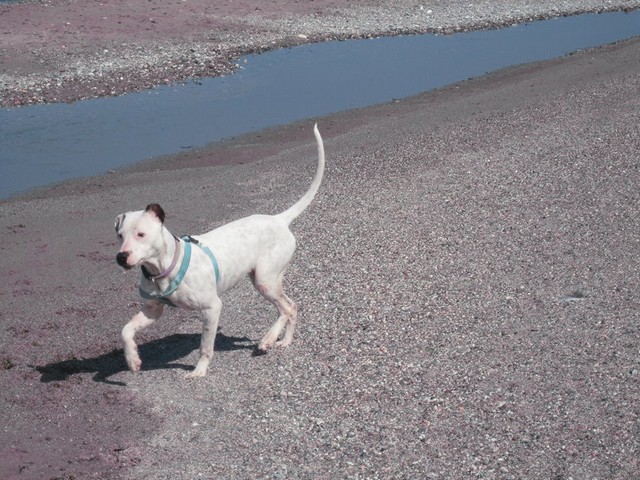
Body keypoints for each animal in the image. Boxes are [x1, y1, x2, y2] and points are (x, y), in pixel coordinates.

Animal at [114, 124, 324, 378]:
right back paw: (284, 341)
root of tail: (279, 219)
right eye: (120, 235)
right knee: (289, 308)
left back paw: (268, 339)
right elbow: (126, 330)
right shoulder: (152, 311)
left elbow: (205, 346)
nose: (121, 257)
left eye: (141, 234)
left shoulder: (212, 308)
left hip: (265, 280)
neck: (163, 267)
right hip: (267, 279)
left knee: (288, 308)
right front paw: (132, 359)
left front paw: (199, 371)